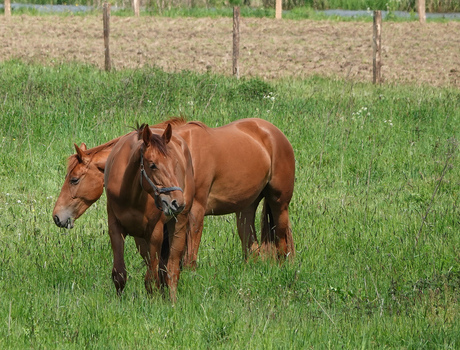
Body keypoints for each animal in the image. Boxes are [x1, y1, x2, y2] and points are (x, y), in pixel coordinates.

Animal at [104, 124, 194, 300]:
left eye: (175, 163)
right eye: (152, 165)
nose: (177, 202)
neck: (131, 195)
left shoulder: (155, 232)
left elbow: (152, 277)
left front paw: (154, 302)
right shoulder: (115, 228)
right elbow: (119, 273)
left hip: (178, 224)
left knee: (171, 269)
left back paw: (172, 301)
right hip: (141, 239)